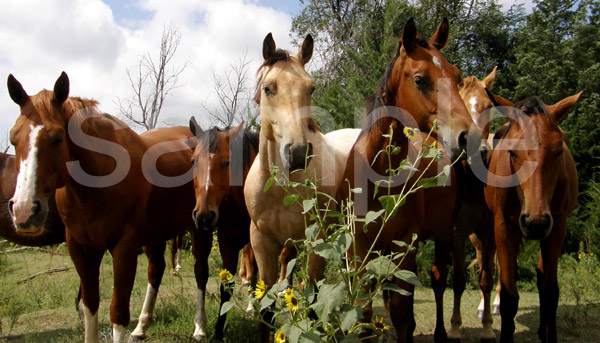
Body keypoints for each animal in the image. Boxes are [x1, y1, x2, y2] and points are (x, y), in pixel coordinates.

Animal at [6, 72, 199, 343]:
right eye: (13, 138)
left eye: (57, 137)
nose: (24, 211)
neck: (94, 187)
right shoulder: (81, 248)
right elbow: (89, 305)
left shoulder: (123, 248)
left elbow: (117, 312)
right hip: (156, 234)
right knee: (156, 270)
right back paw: (142, 327)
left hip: (198, 227)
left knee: (200, 272)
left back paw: (200, 327)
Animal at [245, 31, 360, 342]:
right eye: (269, 88)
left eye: (311, 88)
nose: (297, 153)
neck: (280, 188)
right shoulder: (263, 241)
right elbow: (266, 304)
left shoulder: (317, 240)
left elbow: (316, 297)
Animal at [340, 18, 476, 342]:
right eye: (419, 79)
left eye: (456, 76)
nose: (467, 137)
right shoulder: (359, 247)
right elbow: (362, 311)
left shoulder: (405, 245)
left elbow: (403, 316)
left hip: (443, 233)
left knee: (439, 281)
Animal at [486, 92, 584, 343]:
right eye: (512, 152)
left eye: (558, 150)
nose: (535, 222)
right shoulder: (504, 226)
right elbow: (509, 296)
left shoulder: (557, 225)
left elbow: (550, 293)